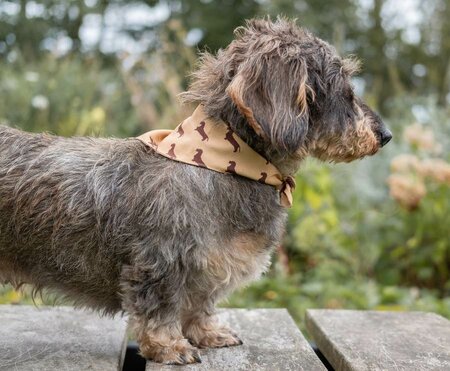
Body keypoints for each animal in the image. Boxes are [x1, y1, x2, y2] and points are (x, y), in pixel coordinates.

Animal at [0, 18, 390, 366]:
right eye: (343, 88)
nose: (385, 135)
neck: (223, 163)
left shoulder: (209, 268)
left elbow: (200, 303)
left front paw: (207, 332)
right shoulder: (157, 265)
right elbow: (159, 310)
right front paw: (169, 346)